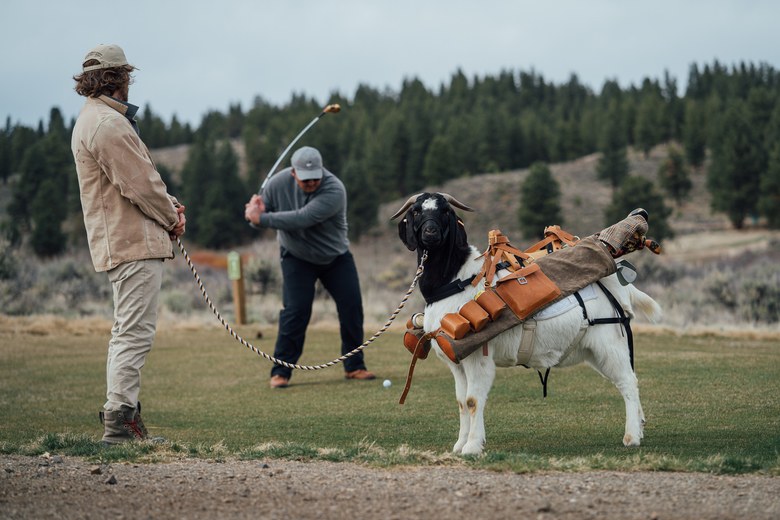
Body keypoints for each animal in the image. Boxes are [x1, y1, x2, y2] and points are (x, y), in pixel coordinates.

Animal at [392, 192, 662, 455]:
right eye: (416, 211)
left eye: (445, 211)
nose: (430, 233)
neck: (457, 280)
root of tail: (618, 285)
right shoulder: (456, 363)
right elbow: (461, 402)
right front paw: (459, 445)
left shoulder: (478, 357)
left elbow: (473, 400)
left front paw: (472, 447)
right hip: (594, 351)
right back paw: (640, 426)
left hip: (609, 343)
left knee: (628, 383)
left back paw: (631, 437)